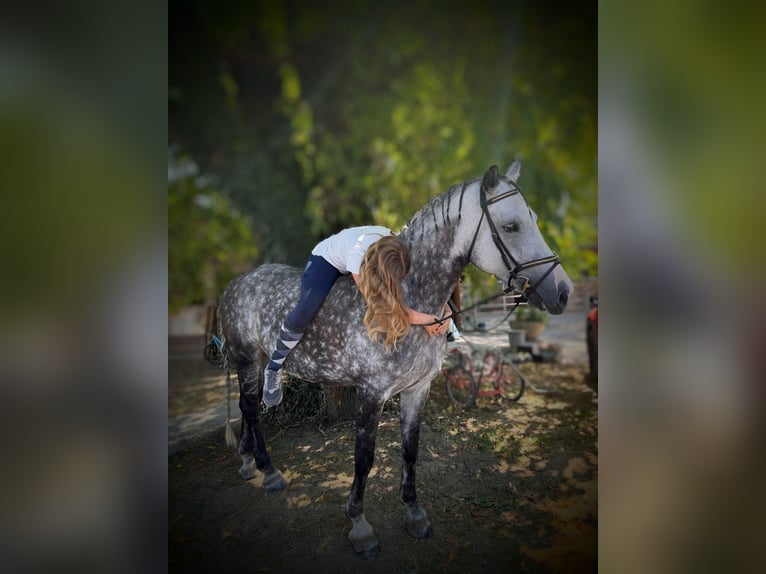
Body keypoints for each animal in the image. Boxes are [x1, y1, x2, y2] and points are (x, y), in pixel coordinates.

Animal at [218, 161, 573, 557]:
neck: (408, 300)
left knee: (245, 406)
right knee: (251, 409)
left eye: (534, 219)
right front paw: (359, 525)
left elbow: (409, 450)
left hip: (253, 361)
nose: (562, 292)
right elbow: (364, 459)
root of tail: (233, 285)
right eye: (511, 226)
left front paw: (415, 514)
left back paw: (248, 462)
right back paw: (268, 470)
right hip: (248, 359)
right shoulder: (371, 395)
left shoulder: (417, 390)